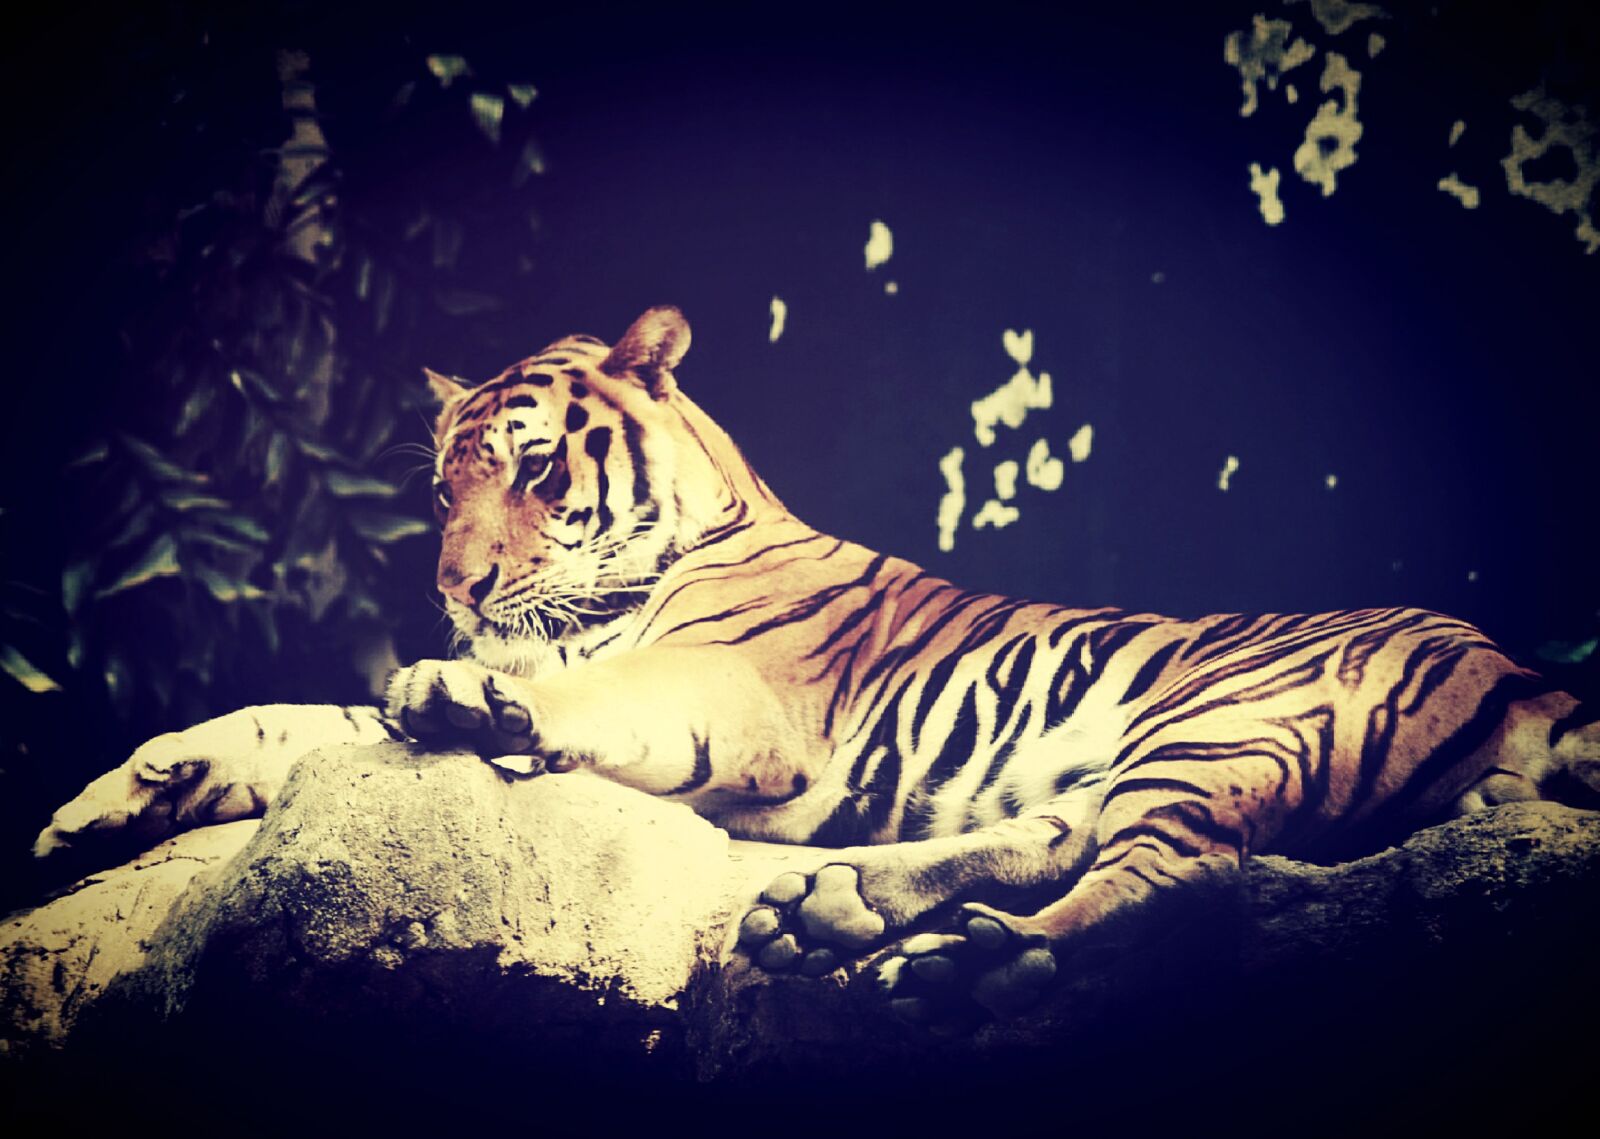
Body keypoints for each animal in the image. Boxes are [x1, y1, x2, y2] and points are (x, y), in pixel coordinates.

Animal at [35, 304, 1600, 1031]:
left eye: (534, 469)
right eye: (438, 487)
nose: (454, 590)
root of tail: (1514, 664)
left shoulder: (730, 695)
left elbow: (557, 698)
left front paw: (472, 692)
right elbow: (294, 718)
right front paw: (115, 797)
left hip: (1221, 717)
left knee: (1181, 875)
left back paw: (977, 967)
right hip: (1160, 748)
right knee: (1070, 832)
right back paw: (837, 910)